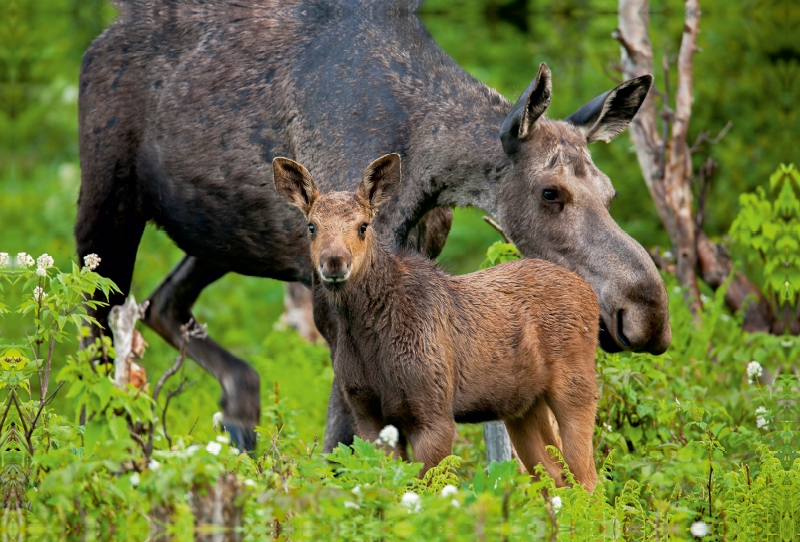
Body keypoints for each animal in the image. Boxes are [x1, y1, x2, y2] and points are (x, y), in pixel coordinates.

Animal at [78, 0, 672, 454]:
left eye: (610, 193)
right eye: (551, 192)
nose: (647, 312)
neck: (428, 166)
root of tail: (102, 36)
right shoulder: (327, 288)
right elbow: (343, 442)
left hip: (218, 239)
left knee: (162, 302)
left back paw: (240, 415)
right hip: (107, 206)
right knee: (95, 332)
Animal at [276, 154, 600, 492]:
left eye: (363, 226)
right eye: (312, 226)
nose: (335, 261)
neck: (370, 341)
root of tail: (588, 292)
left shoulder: (434, 414)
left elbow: (431, 490)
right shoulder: (367, 417)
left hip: (576, 386)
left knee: (588, 479)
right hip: (522, 407)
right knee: (555, 476)